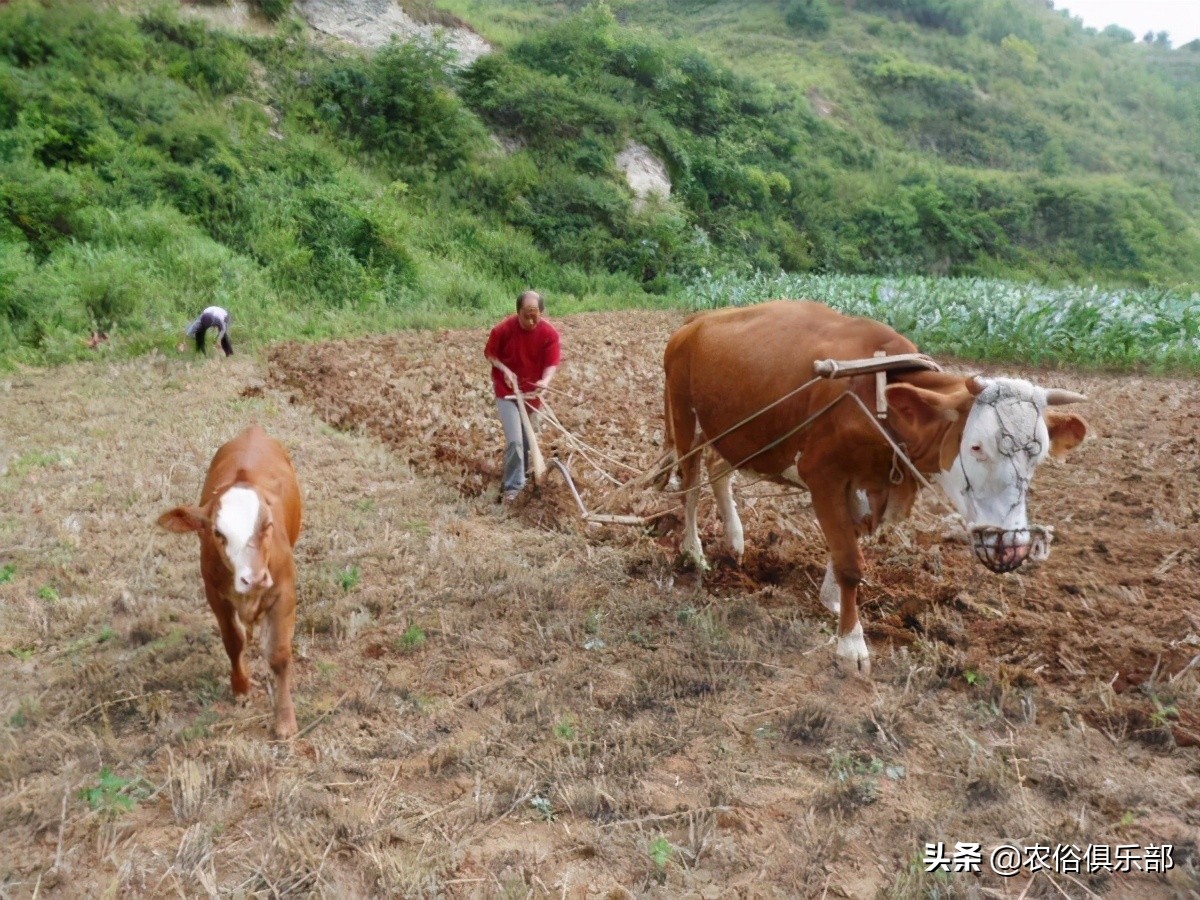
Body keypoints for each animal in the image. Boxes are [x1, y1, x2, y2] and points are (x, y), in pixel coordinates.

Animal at [158, 427, 304, 734]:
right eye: (218, 533)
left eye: (268, 525)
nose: (255, 579)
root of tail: (253, 429)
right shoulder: (215, 595)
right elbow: (233, 641)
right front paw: (241, 688)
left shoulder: (284, 591)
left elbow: (279, 653)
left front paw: (285, 720)